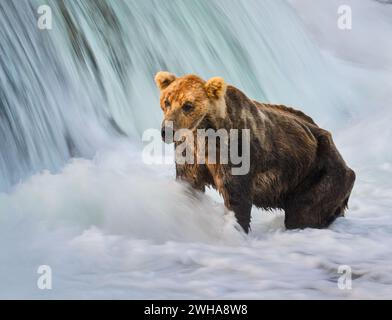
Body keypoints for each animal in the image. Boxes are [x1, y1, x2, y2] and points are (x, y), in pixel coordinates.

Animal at [155, 72, 356, 232]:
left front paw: (235, 229)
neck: (205, 134)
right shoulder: (190, 154)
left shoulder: (236, 153)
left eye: (187, 105)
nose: (167, 131)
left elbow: (237, 197)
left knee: (303, 213)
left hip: (319, 174)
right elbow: (189, 185)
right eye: (167, 101)